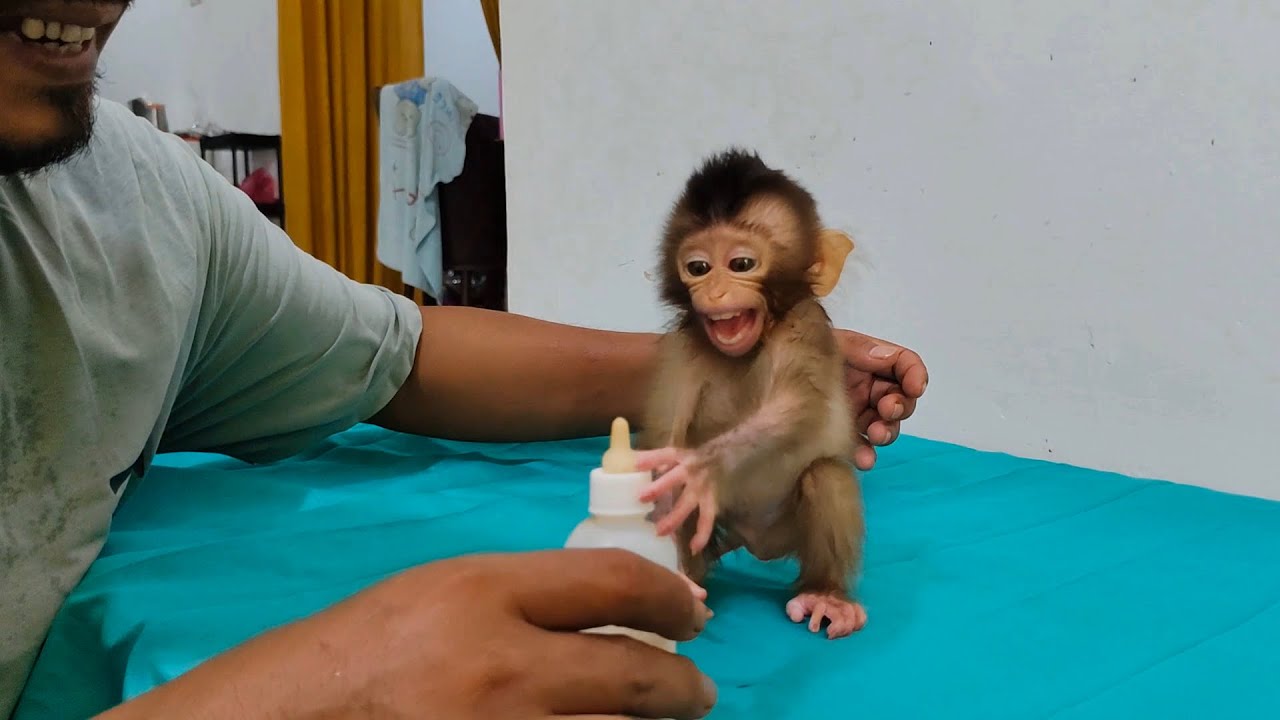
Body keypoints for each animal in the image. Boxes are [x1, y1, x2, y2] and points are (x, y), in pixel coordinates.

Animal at [632, 147, 866, 639]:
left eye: (741, 265)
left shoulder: (806, 326)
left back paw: (827, 595)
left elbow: (797, 405)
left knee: (826, 475)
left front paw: (704, 468)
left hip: (784, 533)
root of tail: (753, 544)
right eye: (698, 268)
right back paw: (684, 582)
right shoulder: (685, 346)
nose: (716, 291)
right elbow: (665, 442)